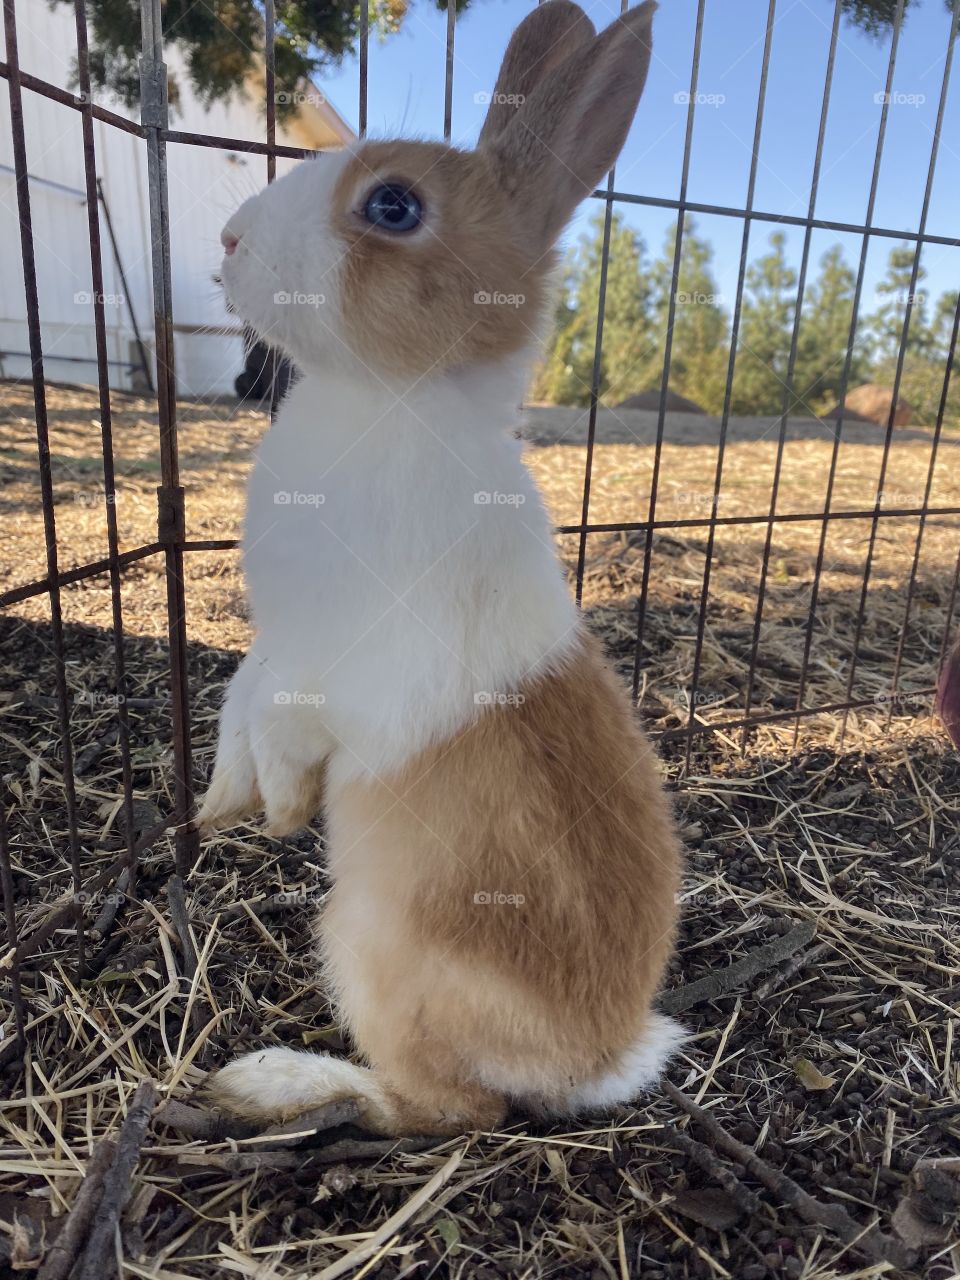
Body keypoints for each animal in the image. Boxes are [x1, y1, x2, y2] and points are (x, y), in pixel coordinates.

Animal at [199, 0, 684, 1136]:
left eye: (392, 204)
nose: (230, 240)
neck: (392, 401)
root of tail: (593, 1060)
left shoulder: (341, 664)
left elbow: (288, 717)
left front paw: (279, 808)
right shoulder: (275, 640)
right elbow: (240, 693)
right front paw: (225, 804)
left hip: (371, 951)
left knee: (445, 1108)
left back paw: (277, 1083)